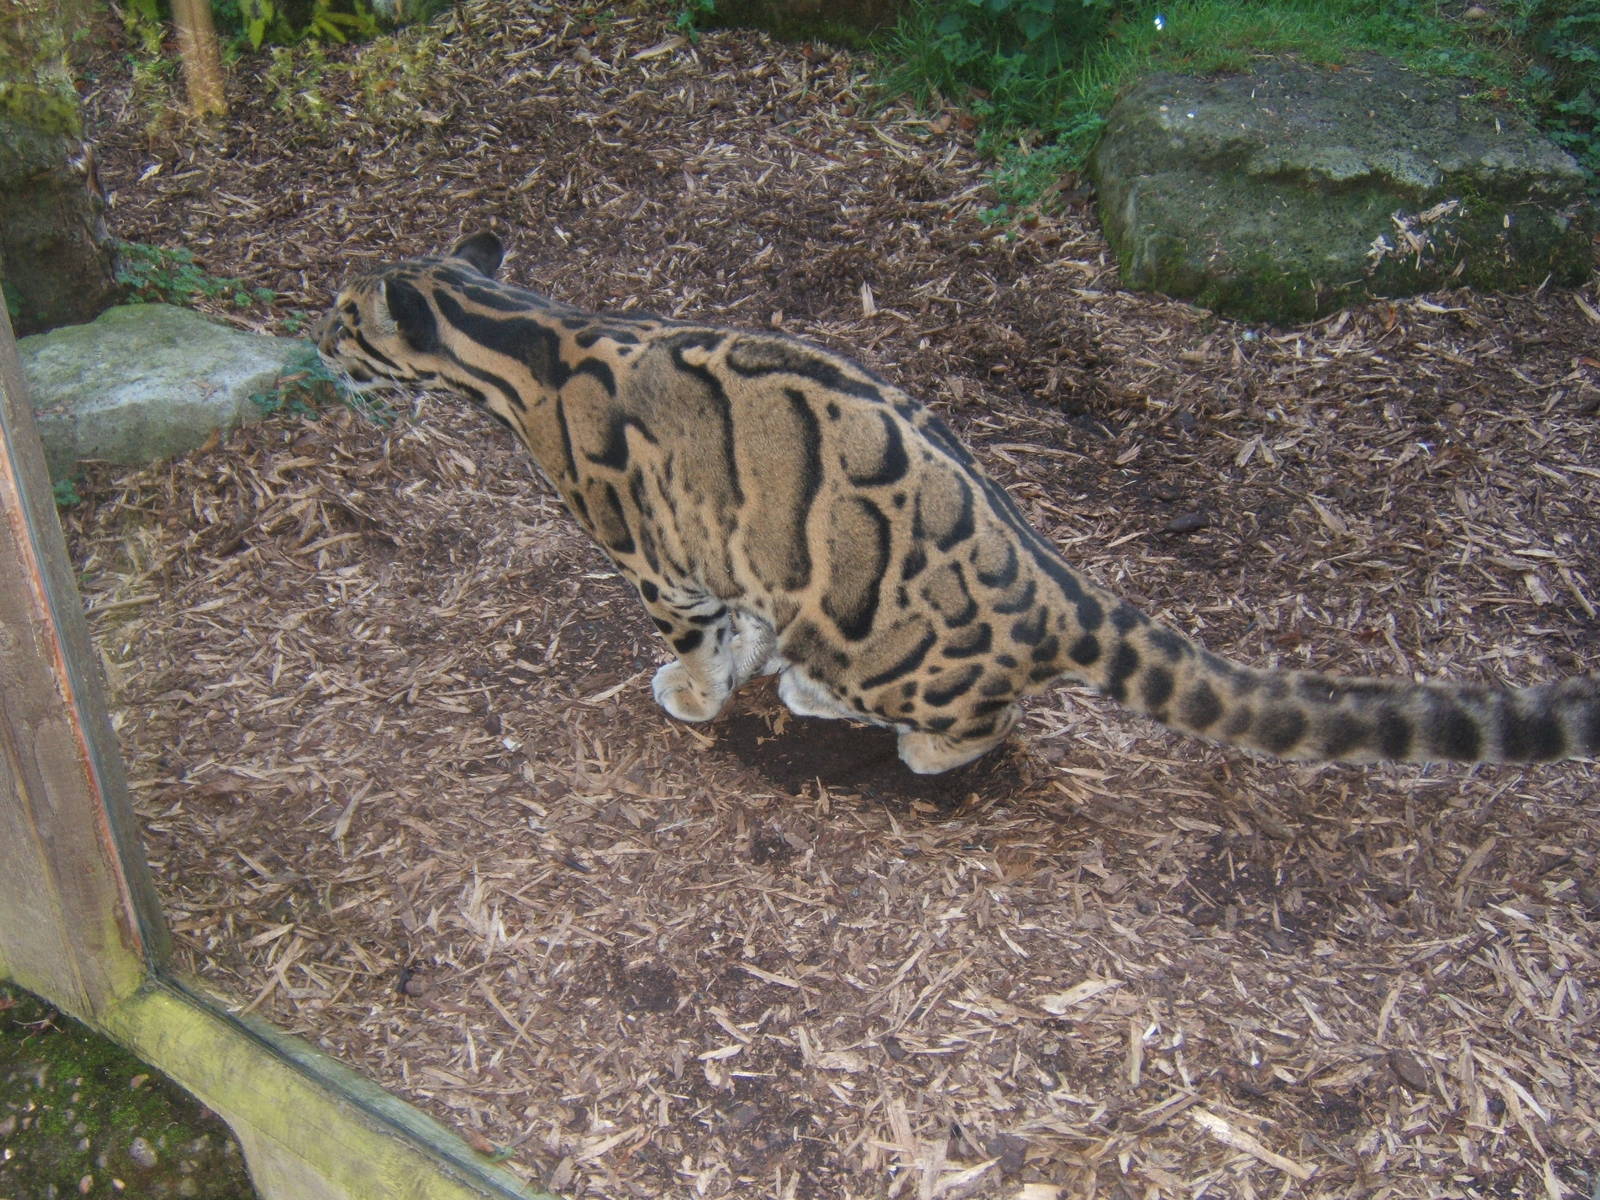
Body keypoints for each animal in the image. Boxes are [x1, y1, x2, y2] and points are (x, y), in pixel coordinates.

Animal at [314, 231, 1600, 774]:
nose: (315, 344)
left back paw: (884, 726)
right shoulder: (731, 558)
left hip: (901, 647)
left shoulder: (657, 560)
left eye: (342, 315)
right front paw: (732, 670)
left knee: (980, 725)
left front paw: (693, 693)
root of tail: (1062, 588)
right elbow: (740, 621)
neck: (528, 332)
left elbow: (693, 640)